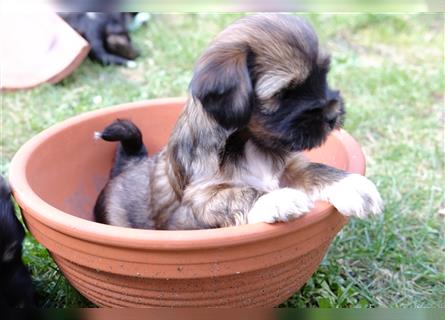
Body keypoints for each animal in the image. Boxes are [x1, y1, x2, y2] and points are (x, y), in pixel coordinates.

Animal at [93, 14, 382, 230]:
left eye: (323, 76)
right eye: (284, 93)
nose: (333, 115)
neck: (249, 144)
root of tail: (130, 162)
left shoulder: (289, 168)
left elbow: (314, 169)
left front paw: (353, 186)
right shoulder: (201, 196)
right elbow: (239, 193)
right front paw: (278, 199)